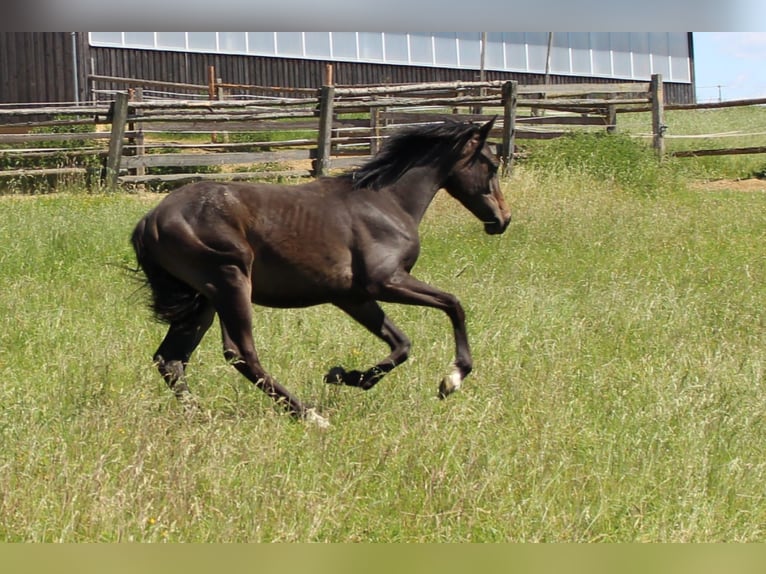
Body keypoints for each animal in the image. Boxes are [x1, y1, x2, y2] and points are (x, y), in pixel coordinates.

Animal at [131, 117, 511, 428]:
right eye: (491, 165)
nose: (503, 220)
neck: (386, 202)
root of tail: (150, 220)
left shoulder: (354, 297)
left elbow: (401, 344)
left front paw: (347, 375)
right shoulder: (386, 282)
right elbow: (453, 305)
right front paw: (452, 379)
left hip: (203, 300)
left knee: (170, 359)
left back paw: (199, 414)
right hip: (229, 283)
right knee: (239, 352)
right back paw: (309, 415)